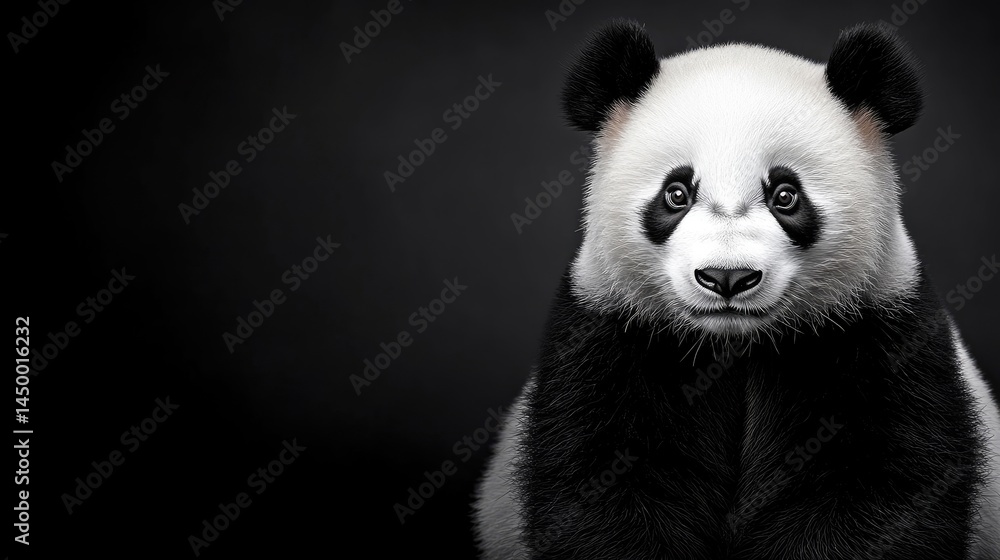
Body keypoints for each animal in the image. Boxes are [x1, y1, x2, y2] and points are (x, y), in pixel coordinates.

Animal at [472, 21, 1000, 560]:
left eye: (786, 195)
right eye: (676, 193)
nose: (727, 277)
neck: (734, 344)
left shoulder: (883, 333)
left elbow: (885, 489)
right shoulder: (607, 332)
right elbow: (599, 483)